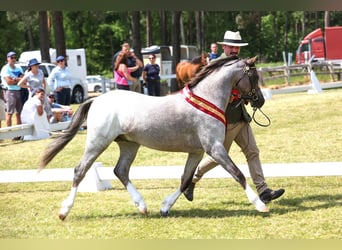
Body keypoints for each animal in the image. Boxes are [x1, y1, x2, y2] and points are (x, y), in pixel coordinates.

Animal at [39, 54, 268, 219]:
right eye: (253, 77)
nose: (261, 100)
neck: (206, 99)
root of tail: (96, 100)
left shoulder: (197, 151)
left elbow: (185, 179)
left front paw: (165, 207)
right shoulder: (215, 148)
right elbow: (237, 173)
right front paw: (260, 204)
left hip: (129, 145)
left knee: (120, 170)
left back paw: (142, 206)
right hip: (97, 142)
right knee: (80, 170)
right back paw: (64, 212)